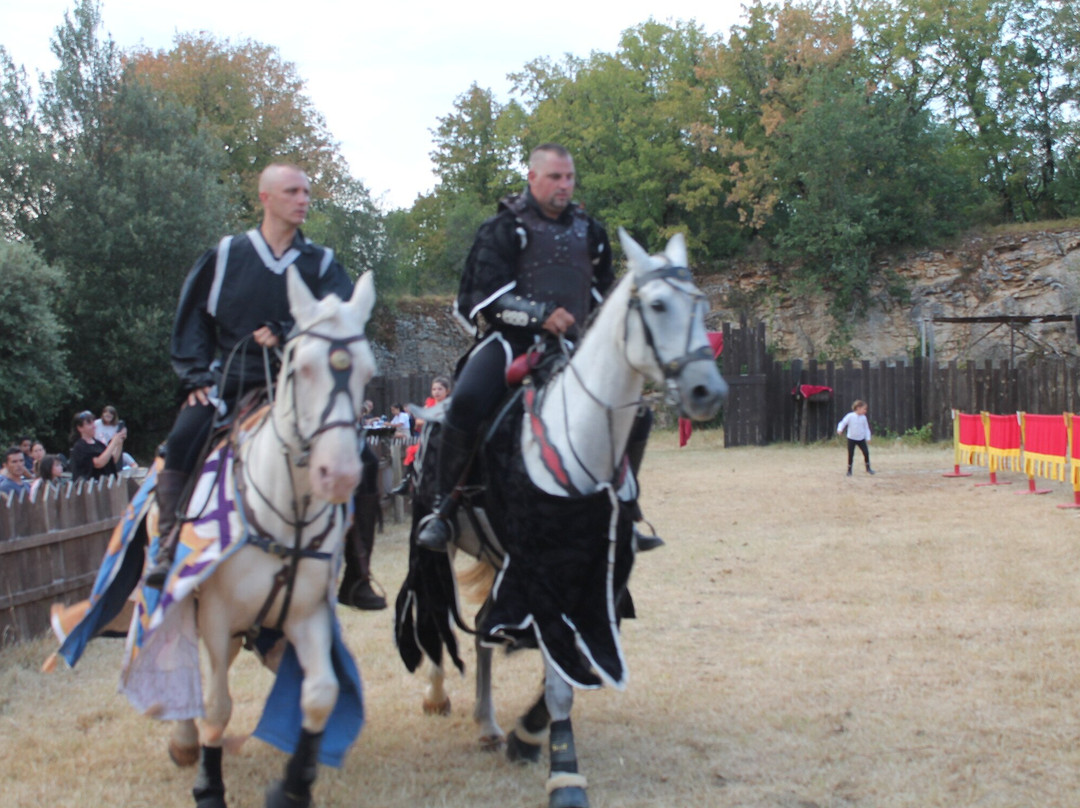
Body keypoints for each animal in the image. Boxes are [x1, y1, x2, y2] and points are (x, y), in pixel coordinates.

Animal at [174, 267, 378, 808]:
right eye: (300, 367)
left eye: (368, 372)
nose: (339, 475)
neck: (289, 513)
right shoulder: (216, 615)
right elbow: (217, 704)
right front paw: (209, 786)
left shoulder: (306, 615)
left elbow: (320, 694)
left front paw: (292, 787)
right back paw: (184, 741)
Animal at [401, 226, 730, 808]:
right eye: (658, 304)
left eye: (702, 305)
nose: (705, 391)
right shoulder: (542, 578)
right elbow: (555, 682)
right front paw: (564, 774)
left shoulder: (591, 580)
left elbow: (563, 668)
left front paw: (526, 735)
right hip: (430, 540)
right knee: (433, 609)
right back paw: (438, 694)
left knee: (482, 630)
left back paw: (487, 724)